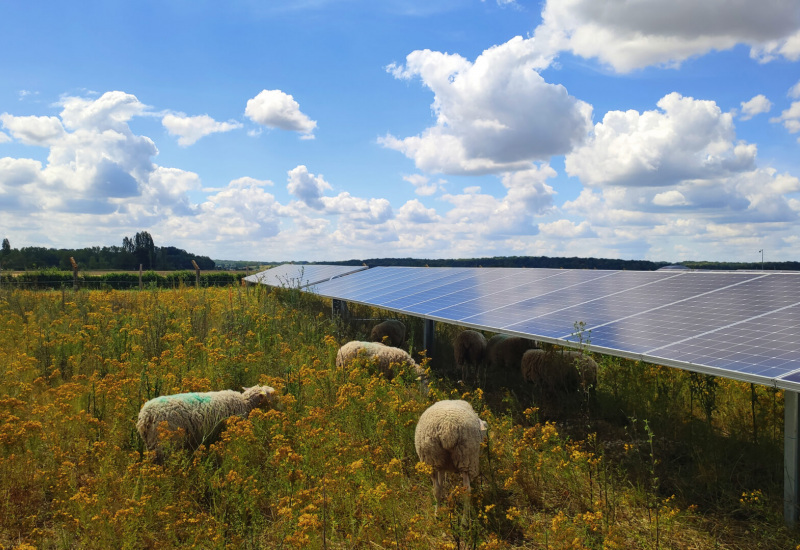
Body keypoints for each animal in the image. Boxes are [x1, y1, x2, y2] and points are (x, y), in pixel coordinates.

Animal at [141, 386, 282, 464]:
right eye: (271, 394)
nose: (280, 405)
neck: (245, 402)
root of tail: (146, 416)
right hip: (165, 441)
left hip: (151, 441)